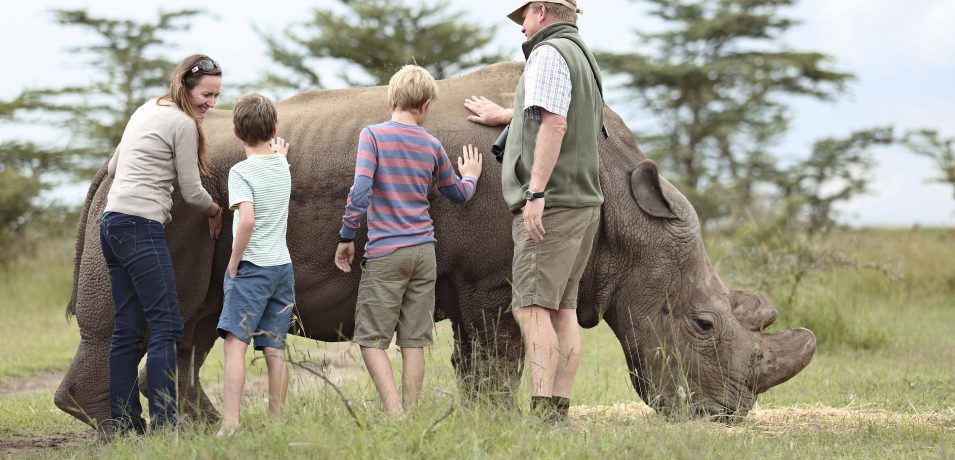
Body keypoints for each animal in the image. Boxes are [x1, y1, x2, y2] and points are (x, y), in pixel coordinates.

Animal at [56, 62, 816, 428]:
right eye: (702, 325)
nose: (727, 417)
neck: (621, 210)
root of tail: (106, 162)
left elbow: (486, 357)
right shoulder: (494, 277)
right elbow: (496, 356)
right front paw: (497, 423)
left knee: (195, 323)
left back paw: (195, 427)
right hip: (168, 197)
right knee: (163, 316)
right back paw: (132, 430)